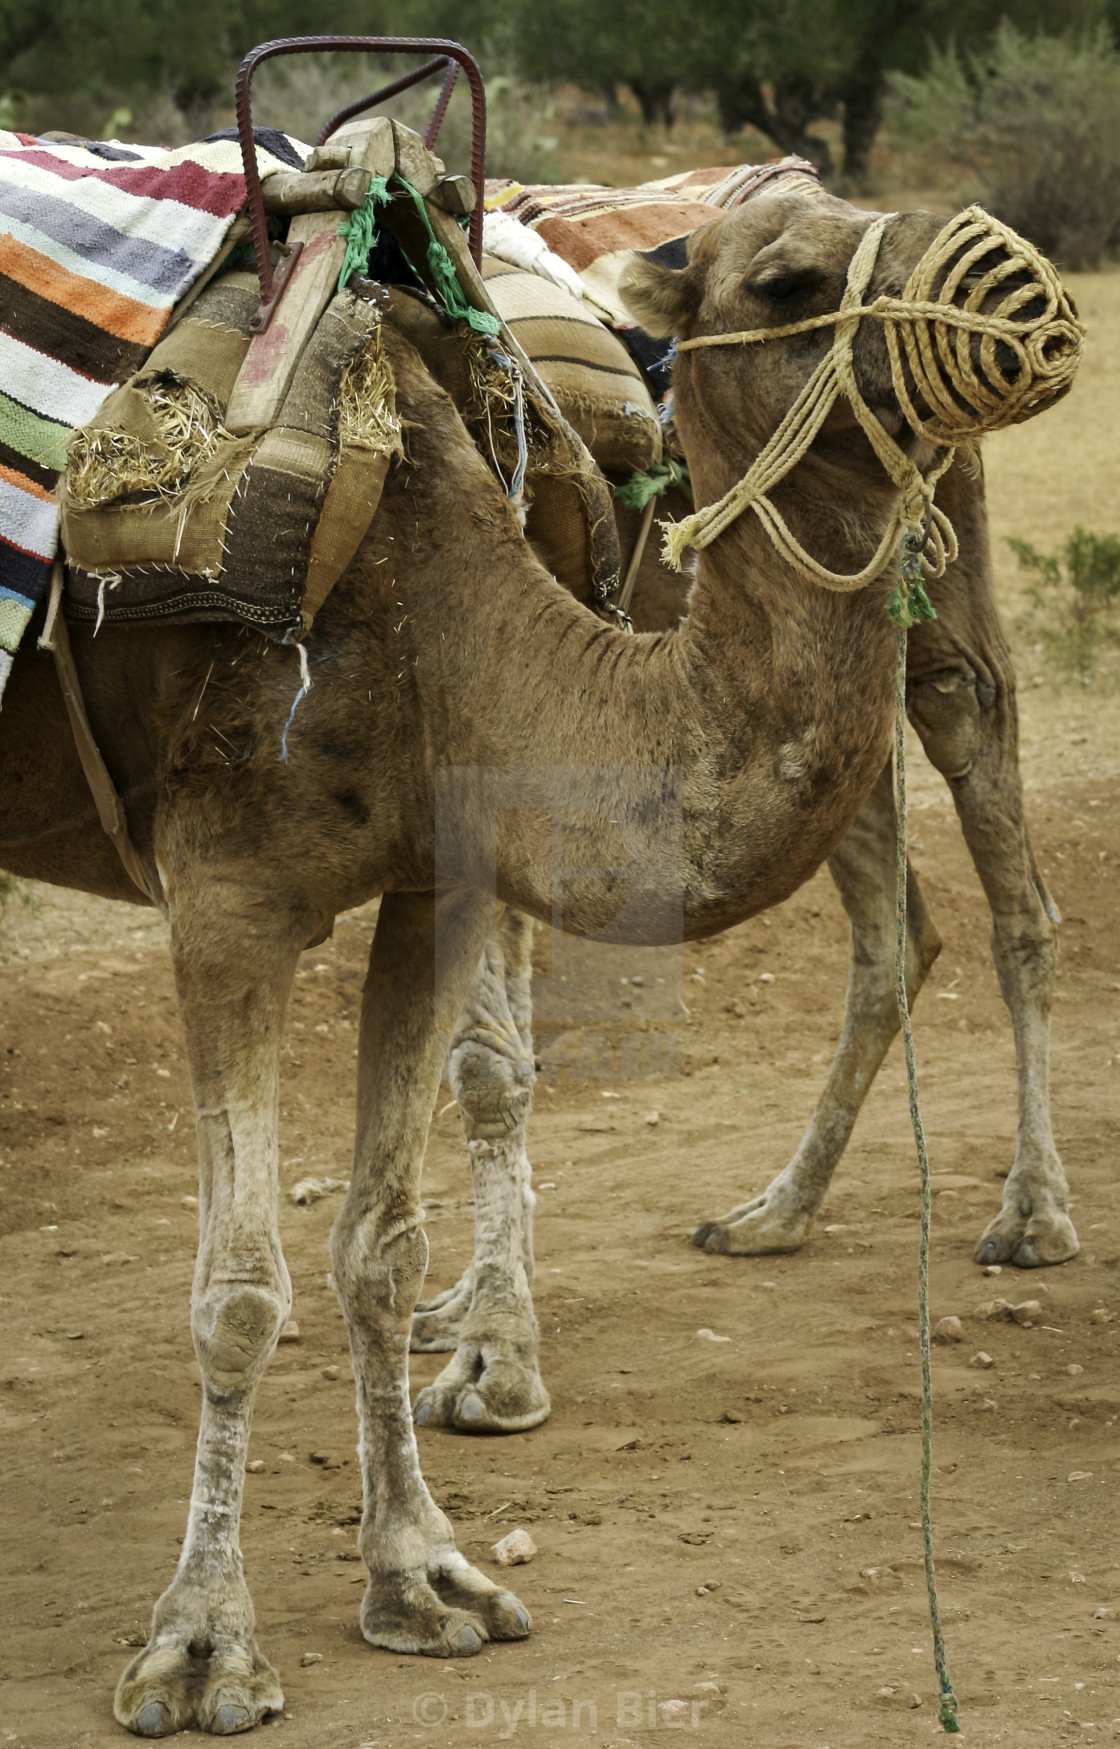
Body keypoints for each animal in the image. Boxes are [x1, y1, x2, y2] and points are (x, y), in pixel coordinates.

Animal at [406, 451, 1071, 1434]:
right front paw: (466, 1309)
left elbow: (482, 1058)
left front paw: (491, 1363)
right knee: (898, 929)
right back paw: (775, 1213)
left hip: (934, 610)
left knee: (1001, 843)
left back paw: (1033, 1215)